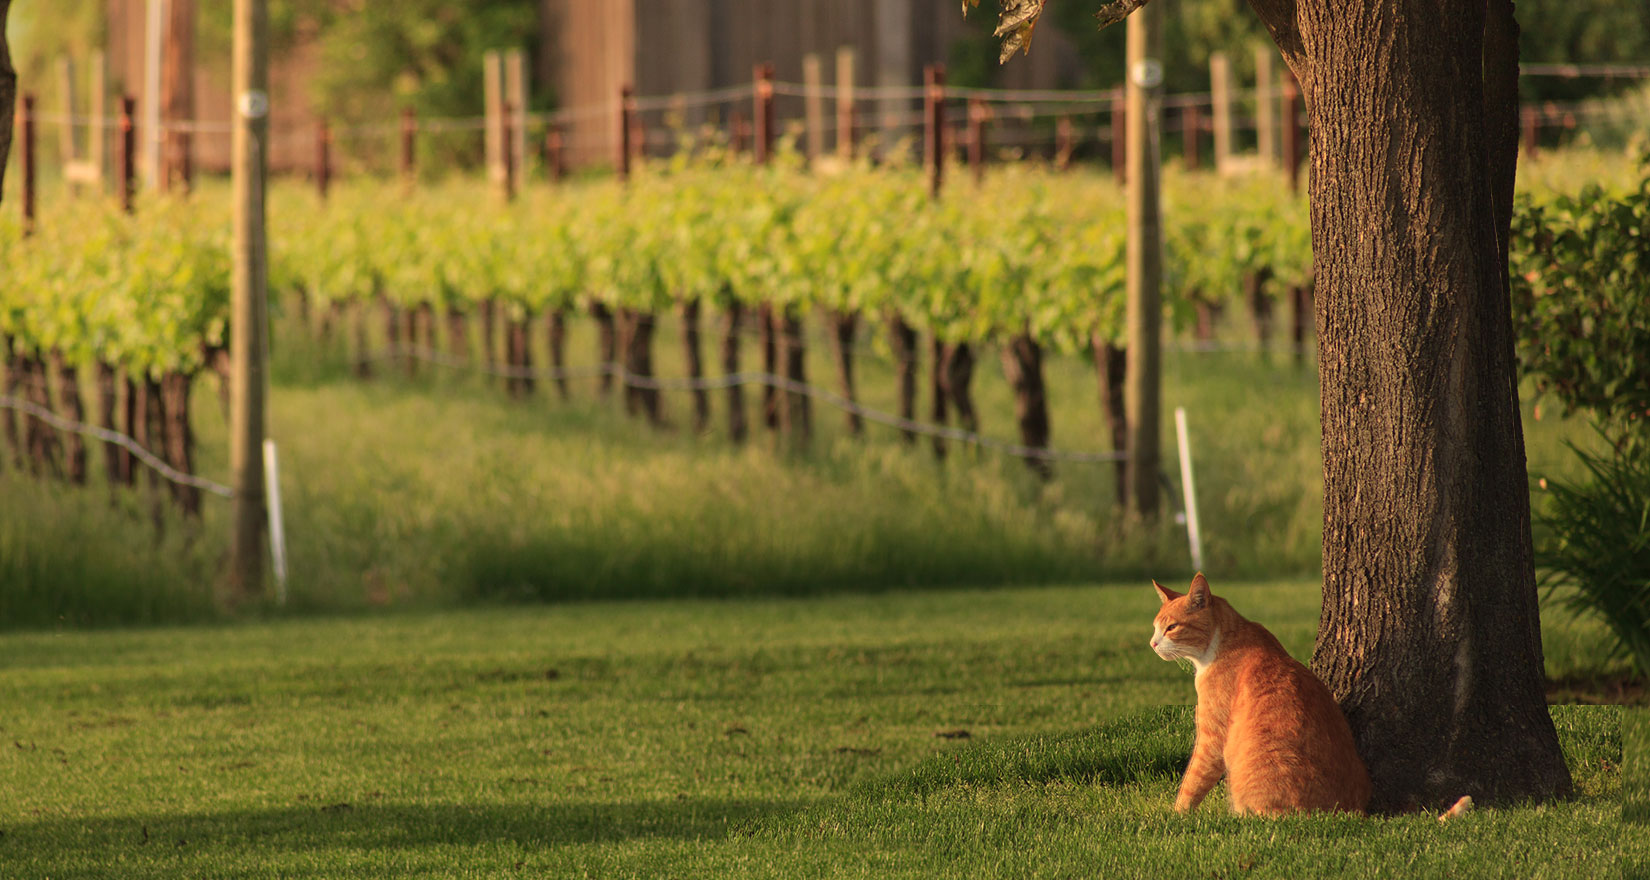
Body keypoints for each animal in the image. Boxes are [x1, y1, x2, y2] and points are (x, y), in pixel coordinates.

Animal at [1148, 574, 1366, 812]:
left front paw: (1177, 814)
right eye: (1155, 628)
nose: (1152, 643)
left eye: (1171, 627)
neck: (1224, 640)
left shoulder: (1211, 738)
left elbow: (1192, 782)